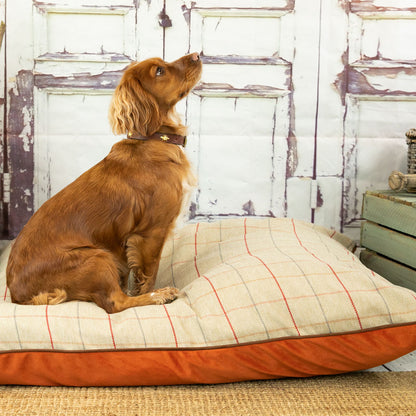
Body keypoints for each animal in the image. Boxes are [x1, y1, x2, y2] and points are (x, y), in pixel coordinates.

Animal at [6, 51, 202, 312]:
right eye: (159, 71)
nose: (197, 55)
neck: (153, 139)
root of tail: (16, 295)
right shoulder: (151, 231)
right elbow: (148, 275)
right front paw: (153, 293)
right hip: (96, 257)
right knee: (115, 303)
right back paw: (160, 296)